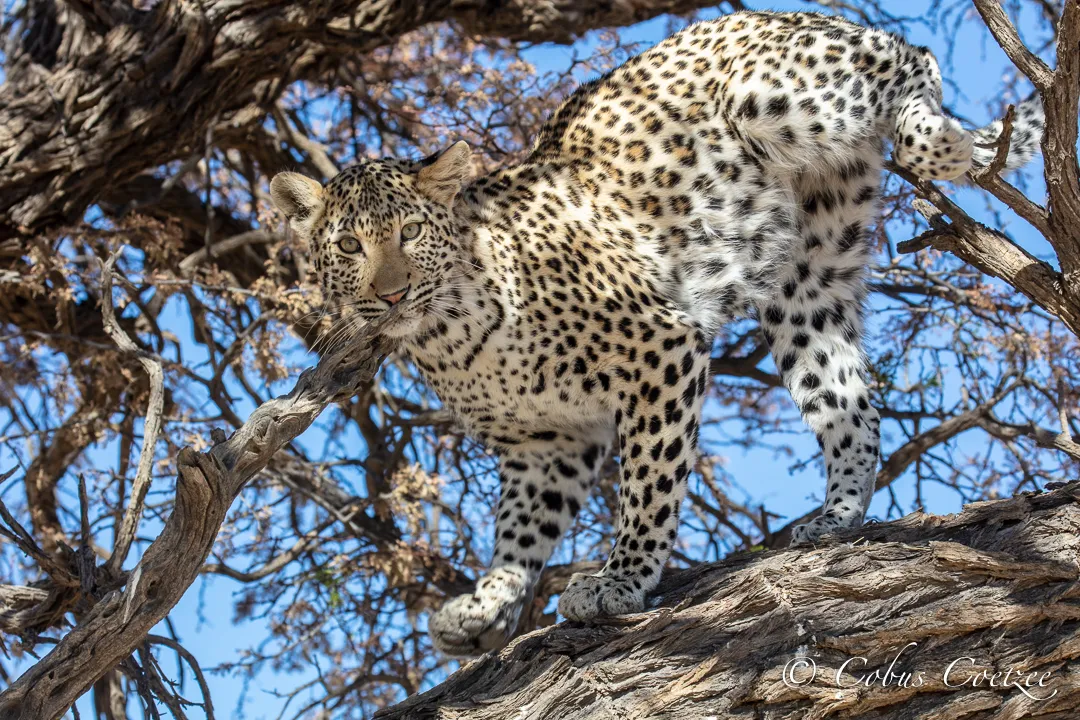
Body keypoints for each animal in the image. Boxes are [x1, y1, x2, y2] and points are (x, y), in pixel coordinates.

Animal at [270, 10, 1044, 657]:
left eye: (407, 233)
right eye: (348, 246)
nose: (391, 293)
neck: (450, 336)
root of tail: (797, 13)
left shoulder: (656, 350)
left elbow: (649, 481)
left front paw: (621, 581)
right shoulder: (544, 443)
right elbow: (520, 527)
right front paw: (487, 605)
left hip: (776, 95)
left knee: (909, 58)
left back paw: (940, 137)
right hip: (807, 285)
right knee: (850, 403)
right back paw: (838, 516)